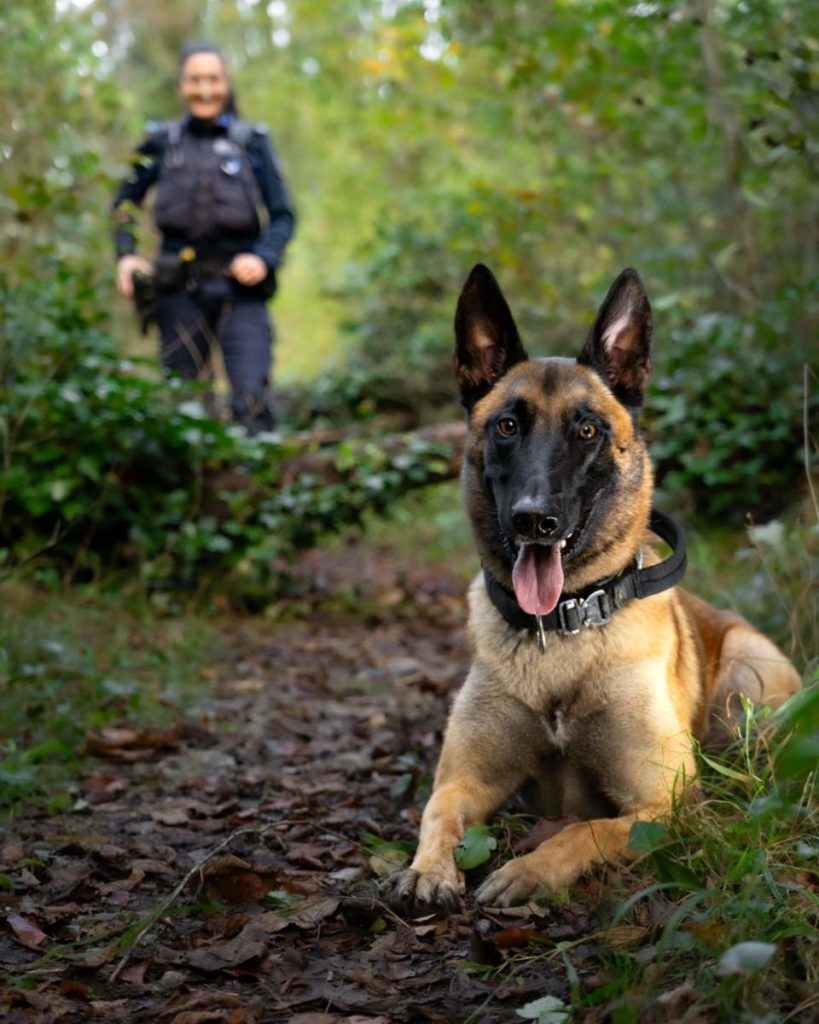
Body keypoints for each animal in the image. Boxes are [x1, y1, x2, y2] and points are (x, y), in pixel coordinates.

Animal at [389, 266, 798, 913]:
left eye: (587, 430)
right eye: (507, 425)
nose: (534, 520)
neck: (563, 627)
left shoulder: (665, 804)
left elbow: (586, 830)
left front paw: (529, 870)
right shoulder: (465, 779)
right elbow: (438, 812)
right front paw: (429, 868)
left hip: (746, 674)